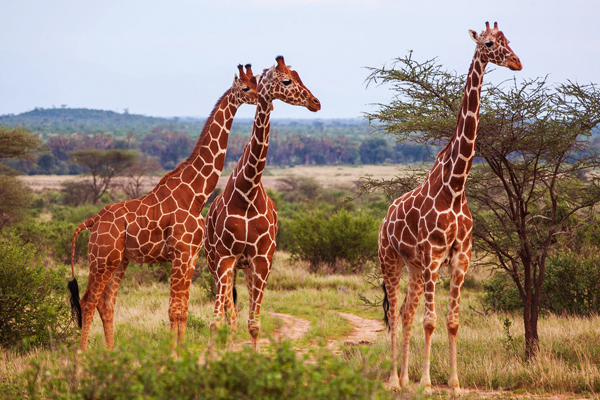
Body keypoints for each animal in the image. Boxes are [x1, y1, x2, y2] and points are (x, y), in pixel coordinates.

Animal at [67, 64, 258, 352]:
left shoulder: (191, 256)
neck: (196, 194)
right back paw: (82, 355)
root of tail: (93, 220)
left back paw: (110, 354)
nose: (262, 99)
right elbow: (174, 309)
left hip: (119, 260)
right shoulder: (180, 253)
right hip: (101, 258)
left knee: (106, 303)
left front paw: (181, 352)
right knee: (88, 300)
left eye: (257, 83)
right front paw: (172, 355)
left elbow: (183, 309)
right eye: (246, 87)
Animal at [205, 55, 322, 350]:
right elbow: (217, 322)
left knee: (240, 315)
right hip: (217, 263)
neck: (247, 192)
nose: (315, 102)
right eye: (286, 80)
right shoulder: (225, 258)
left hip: (248, 268)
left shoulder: (262, 259)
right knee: (229, 314)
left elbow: (254, 324)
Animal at [380, 22, 520, 394]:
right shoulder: (433, 254)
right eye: (489, 44)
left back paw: (404, 378)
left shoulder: (461, 257)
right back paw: (393, 381)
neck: (455, 186)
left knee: (406, 313)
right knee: (395, 313)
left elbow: (452, 321)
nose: (516, 62)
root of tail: (385, 217)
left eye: (508, 41)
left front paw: (455, 384)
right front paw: (428, 384)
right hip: (390, 259)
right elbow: (430, 321)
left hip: (414, 267)